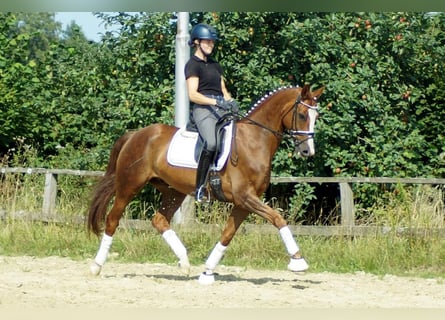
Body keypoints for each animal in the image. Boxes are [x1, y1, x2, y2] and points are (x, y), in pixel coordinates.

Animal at [86, 84, 322, 284]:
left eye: (316, 116)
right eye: (302, 115)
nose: (307, 151)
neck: (254, 140)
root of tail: (137, 134)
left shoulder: (243, 203)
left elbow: (227, 234)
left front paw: (207, 272)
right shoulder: (246, 197)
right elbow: (278, 218)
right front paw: (298, 261)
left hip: (173, 191)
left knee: (159, 220)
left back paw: (184, 263)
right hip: (129, 186)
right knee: (112, 220)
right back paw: (96, 266)